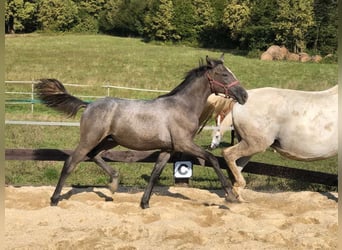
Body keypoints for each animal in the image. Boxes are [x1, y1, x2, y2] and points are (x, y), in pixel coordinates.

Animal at [34, 55, 247, 209]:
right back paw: (54, 199)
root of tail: (88, 105)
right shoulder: (184, 144)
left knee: (94, 155)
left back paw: (113, 183)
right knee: (71, 162)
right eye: (224, 74)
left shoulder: (167, 149)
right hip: (90, 139)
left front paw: (144, 203)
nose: (244, 95)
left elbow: (155, 174)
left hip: (109, 140)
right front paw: (230, 196)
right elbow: (211, 159)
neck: (183, 106)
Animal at [199, 85, 338, 201]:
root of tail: (238, 104)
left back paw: (237, 196)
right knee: (228, 154)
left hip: (249, 144)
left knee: (236, 164)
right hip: (255, 144)